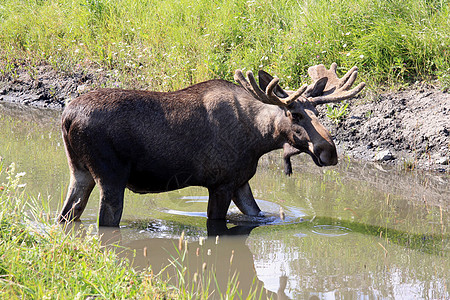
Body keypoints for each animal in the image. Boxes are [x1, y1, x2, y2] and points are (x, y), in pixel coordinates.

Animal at [57, 63, 366, 227]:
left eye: (318, 111)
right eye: (295, 114)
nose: (330, 152)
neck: (259, 139)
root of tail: (67, 117)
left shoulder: (240, 181)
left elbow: (257, 213)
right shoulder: (221, 183)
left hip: (79, 171)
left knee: (66, 215)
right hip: (111, 177)